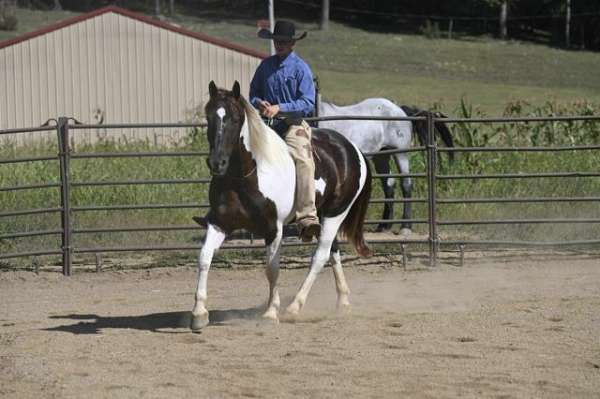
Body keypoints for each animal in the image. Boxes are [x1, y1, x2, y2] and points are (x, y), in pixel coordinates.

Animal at [190, 82, 372, 332]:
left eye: (235, 118)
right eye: (209, 116)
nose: (217, 163)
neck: (249, 173)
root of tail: (352, 149)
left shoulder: (273, 228)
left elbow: (272, 268)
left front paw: (271, 312)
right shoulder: (219, 223)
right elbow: (204, 257)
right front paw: (199, 313)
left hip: (336, 213)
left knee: (320, 256)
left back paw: (294, 307)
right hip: (323, 215)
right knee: (333, 251)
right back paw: (343, 301)